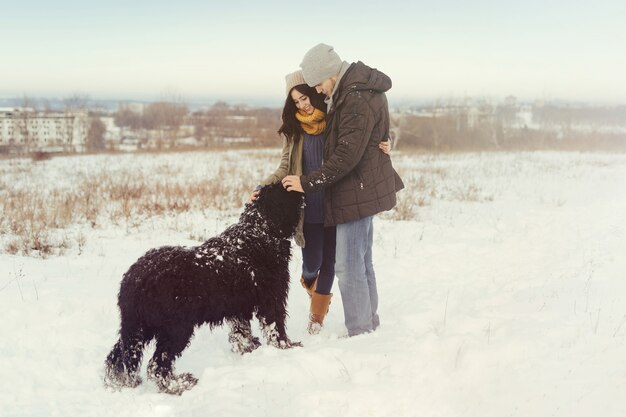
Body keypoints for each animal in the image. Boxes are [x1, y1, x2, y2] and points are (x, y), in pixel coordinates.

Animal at [104, 184, 302, 394]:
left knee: (119, 356)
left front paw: (248, 348)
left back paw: (119, 382)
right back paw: (179, 384)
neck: (259, 230)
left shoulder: (239, 305)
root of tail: (134, 279)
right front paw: (286, 346)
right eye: (285, 189)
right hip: (175, 327)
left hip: (138, 325)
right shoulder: (272, 297)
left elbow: (241, 332)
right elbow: (275, 327)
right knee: (157, 365)